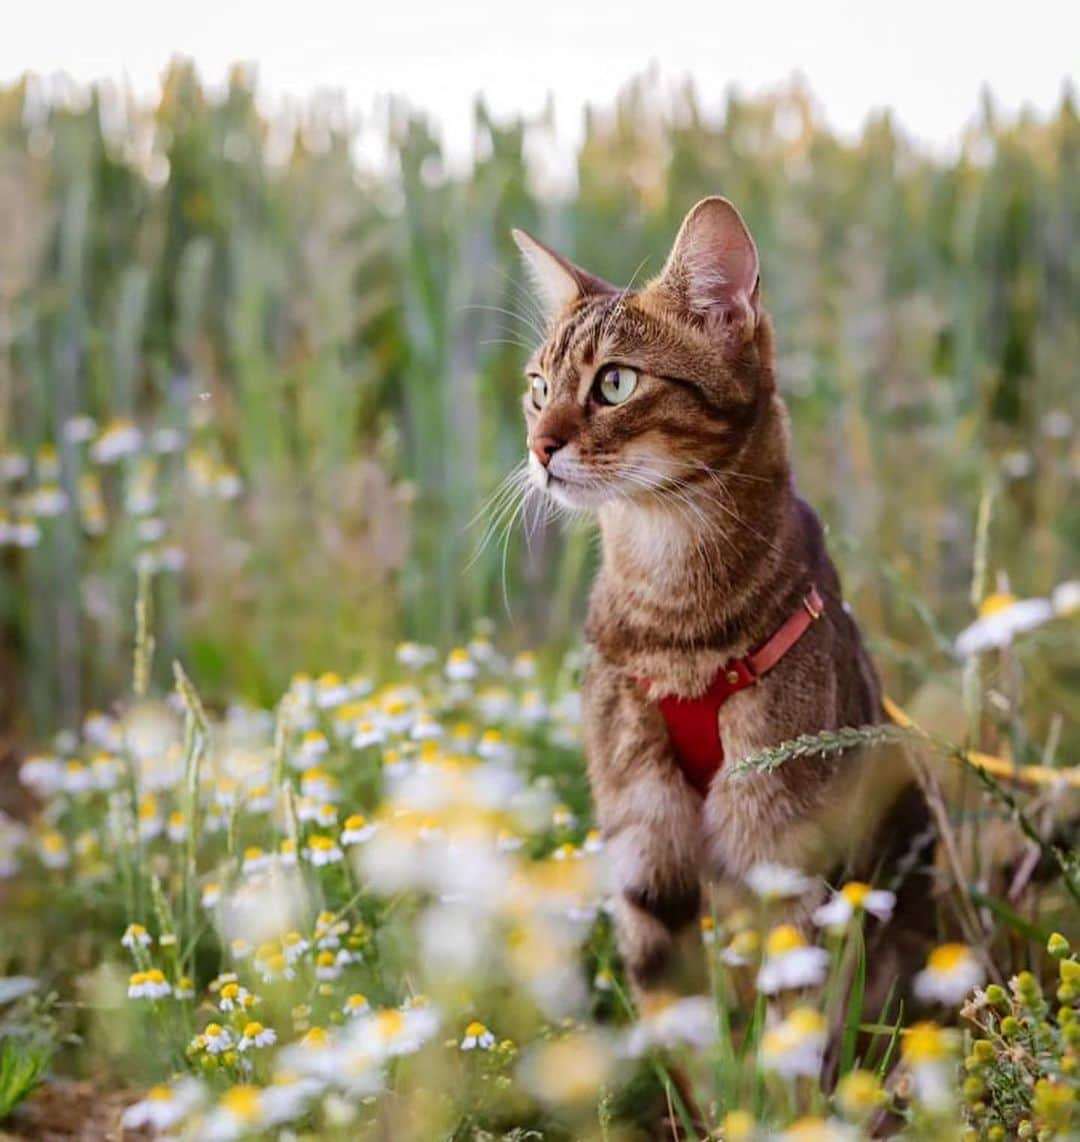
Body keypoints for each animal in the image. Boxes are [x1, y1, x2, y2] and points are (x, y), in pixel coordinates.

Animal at [509, 196, 931, 1009]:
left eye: (614, 383)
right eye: (538, 388)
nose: (540, 447)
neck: (678, 624)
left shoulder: (787, 858)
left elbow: (793, 1031)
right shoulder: (644, 855)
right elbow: (679, 1026)